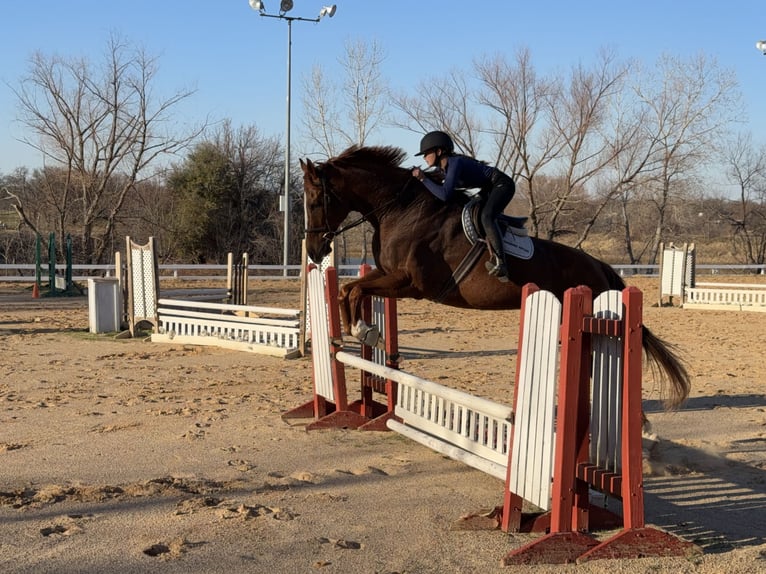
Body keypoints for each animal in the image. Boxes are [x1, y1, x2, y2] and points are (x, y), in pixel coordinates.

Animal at [300, 145, 690, 408]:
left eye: (316, 200)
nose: (315, 251)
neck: (401, 209)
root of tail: (600, 267)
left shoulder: (411, 284)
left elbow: (354, 289)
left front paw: (363, 331)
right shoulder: (386, 274)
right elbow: (349, 290)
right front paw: (352, 333)